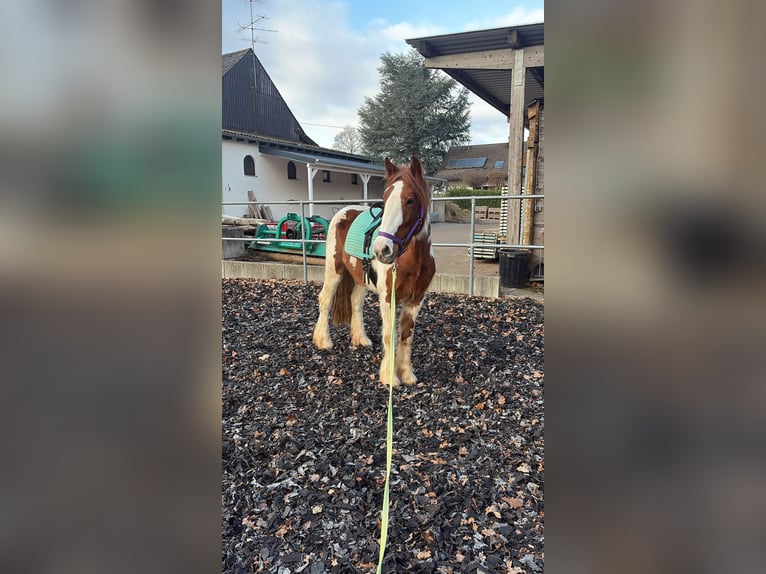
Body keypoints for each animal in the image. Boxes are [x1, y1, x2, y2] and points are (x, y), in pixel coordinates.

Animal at [312, 156, 436, 387]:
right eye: (385, 199)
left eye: (410, 200)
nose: (381, 250)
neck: (412, 259)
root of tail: (344, 212)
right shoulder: (388, 297)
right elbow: (390, 335)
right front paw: (390, 377)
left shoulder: (417, 298)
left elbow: (406, 335)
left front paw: (407, 375)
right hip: (334, 271)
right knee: (325, 299)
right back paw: (323, 341)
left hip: (361, 280)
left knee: (355, 302)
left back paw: (360, 338)